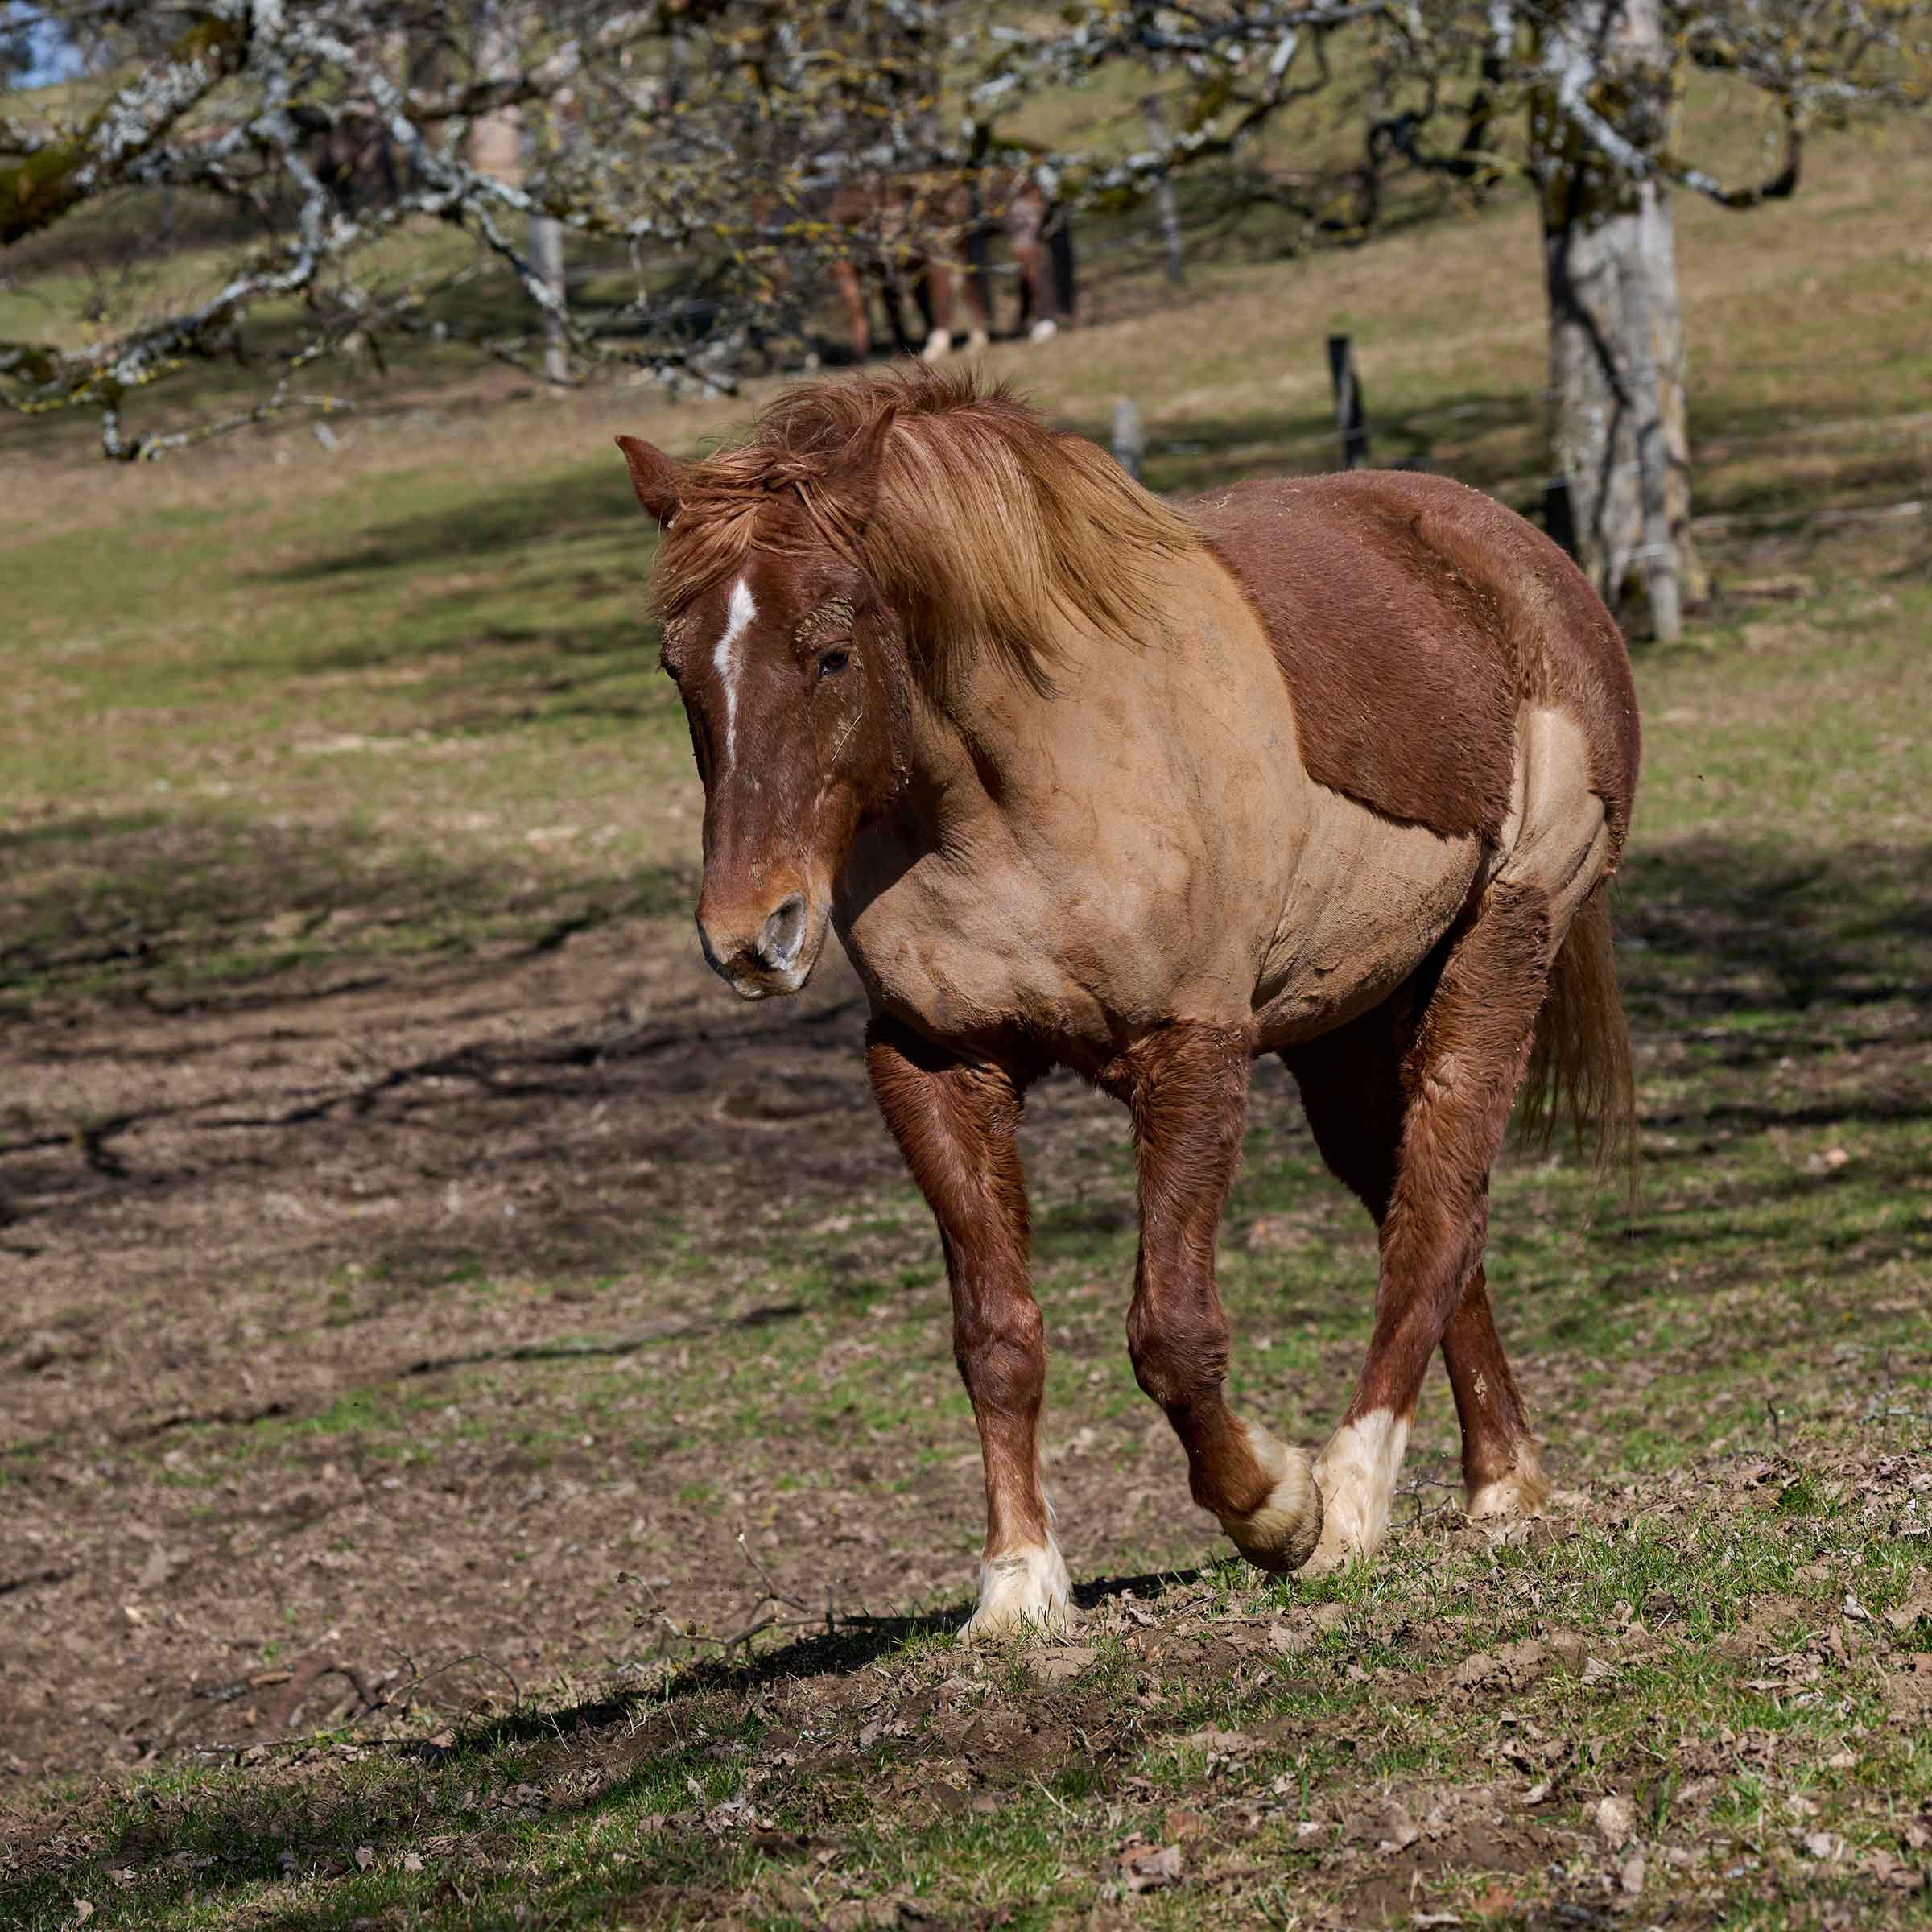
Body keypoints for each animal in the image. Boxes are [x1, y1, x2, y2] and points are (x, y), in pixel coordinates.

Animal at [615, 368, 1640, 1638]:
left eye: (831, 654)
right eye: (680, 670)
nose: (750, 937)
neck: (1024, 787)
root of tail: (1520, 553)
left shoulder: (1190, 1050)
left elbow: (1172, 1333)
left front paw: (1277, 1507)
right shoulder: (933, 1063)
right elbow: (995, 1336)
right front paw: (1017, 1585)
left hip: (1500, 943)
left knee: (1439, 1208)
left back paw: (1358, 1498)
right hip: (1348, 1019)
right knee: (1425, 1205)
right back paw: (1501, 1479)